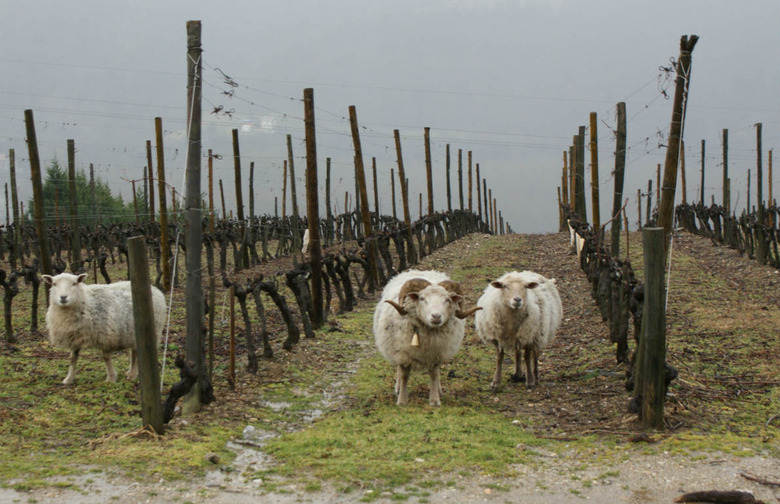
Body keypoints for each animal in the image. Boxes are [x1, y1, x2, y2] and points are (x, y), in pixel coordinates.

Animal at [374, 270, 482, 408]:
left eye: (447, 299)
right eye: (422, 298)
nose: (436, 316)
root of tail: (419, 270)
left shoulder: (435, 354)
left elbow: (434, 375)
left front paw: (435, 400)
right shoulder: (403, 354)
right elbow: (404, 376)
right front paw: (402, 400)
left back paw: (439, 390)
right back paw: (397, 388)